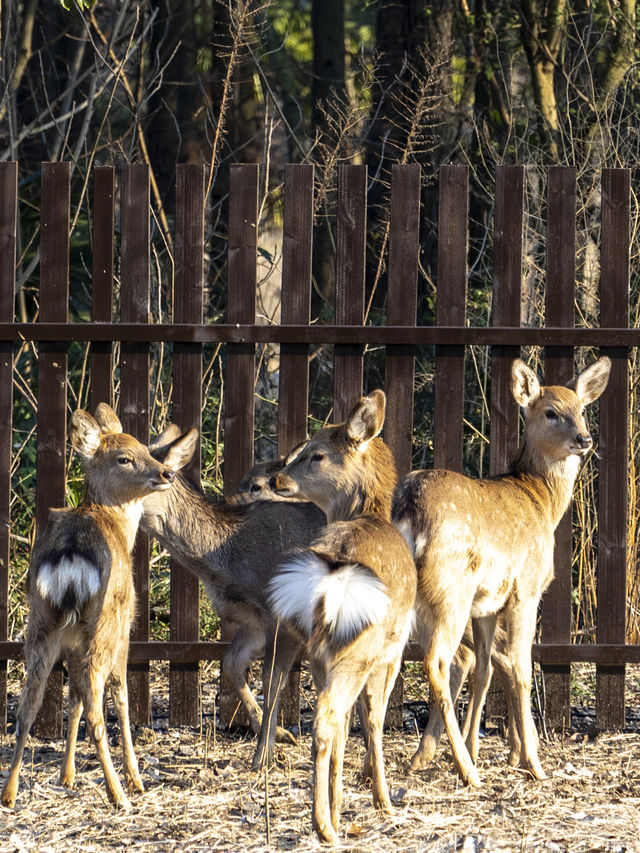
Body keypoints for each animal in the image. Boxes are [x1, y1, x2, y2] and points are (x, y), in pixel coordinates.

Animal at [1, 402, 181, 808]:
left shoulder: (72, 640)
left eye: (147, 447)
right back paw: (119, 793)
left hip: (41, 621)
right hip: (104, 622)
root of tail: (70, 554)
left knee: (28, 705)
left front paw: (66, 776)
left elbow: (73, 702)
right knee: (98, 705)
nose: (167, 472)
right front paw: (135, 777)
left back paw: (10, 793)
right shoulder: (126, 627)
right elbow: (121, 697)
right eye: (125, 457)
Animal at [268, 390, 418, 844]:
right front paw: (383, 800)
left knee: (329, 717)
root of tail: (330, 578)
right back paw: (323, 827)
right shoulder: (393, 651)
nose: (275, 479)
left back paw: (328, 818)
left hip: (319, 648)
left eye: (315, 454)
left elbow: (351, 725)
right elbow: (374, 719)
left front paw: (342, 804)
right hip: (362, 647)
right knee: (326, 719)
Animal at [396, 354, 608, 784]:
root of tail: (410, 509)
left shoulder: (487, 605)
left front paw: (487, 750)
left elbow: (486, 671)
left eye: (581, 409)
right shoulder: (526, 589)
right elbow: (521, 668)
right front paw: (533, 762)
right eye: (550, 412)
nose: (584, 439)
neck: (540, 499)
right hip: (450, 589)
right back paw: (466, 772)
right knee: (437, 662)